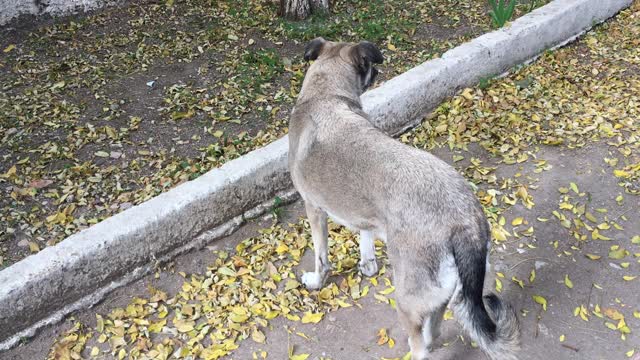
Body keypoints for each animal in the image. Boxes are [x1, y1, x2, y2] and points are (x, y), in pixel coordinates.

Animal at [288, 38, 520, 358]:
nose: (379, 67)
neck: (327, 96)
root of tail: (466, 223)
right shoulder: (364, 212)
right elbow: (364, 234)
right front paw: (367, 263)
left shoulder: (314, 209)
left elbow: (322, 258)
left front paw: (315, 281)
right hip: (443, 293)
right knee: (434, 327)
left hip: (407, 299)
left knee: (420, 345)